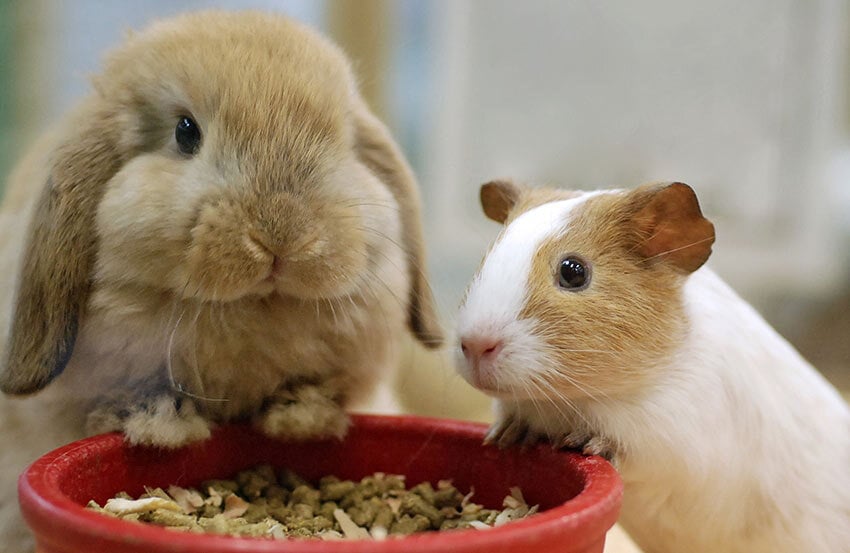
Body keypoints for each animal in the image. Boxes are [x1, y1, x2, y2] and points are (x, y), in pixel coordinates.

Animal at [0, 10, 442, 551]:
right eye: (185, 132)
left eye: (342, 140)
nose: (283, 234)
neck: (253, 311)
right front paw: (162, 426)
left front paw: (300, 418)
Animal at [455, 179, 850, 553]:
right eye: (486, 258)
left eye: (573, 272)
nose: (475, 345)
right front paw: (507, 436)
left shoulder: (670, 443)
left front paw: (581, 441)